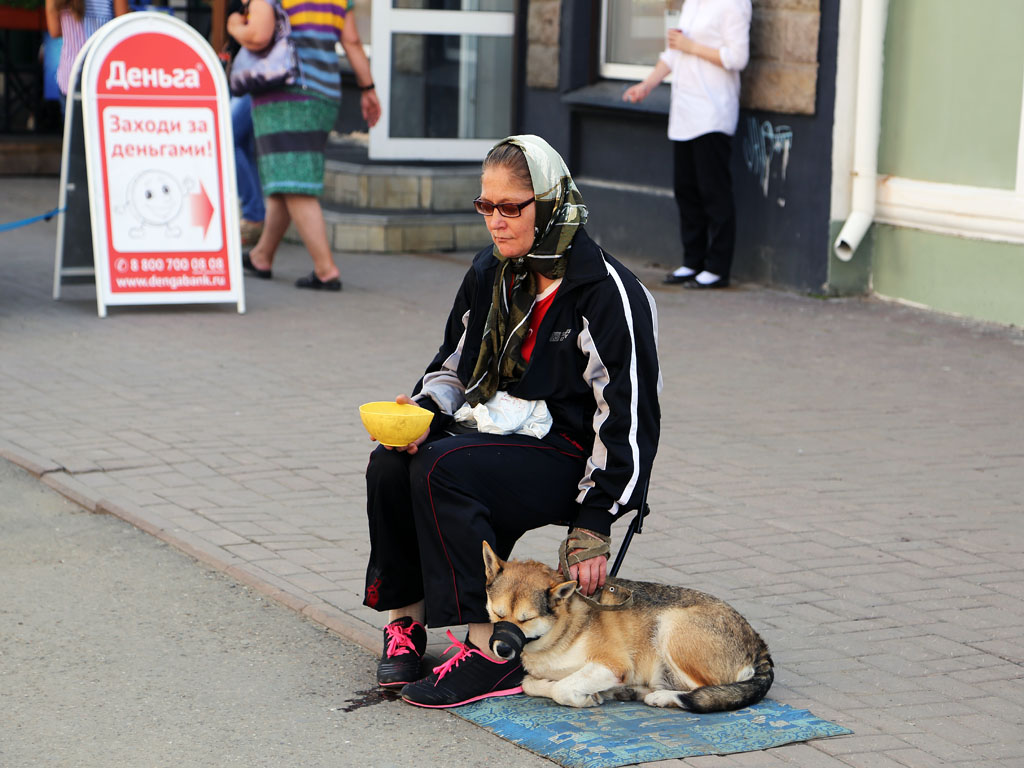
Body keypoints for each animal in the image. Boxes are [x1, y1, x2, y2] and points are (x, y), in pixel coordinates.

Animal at [483, 540, 770, 716]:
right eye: (498, 614)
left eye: (526, 619)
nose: (502, 649)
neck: (560, 631)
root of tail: (757, 641)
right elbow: (530, 683)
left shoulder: (614, 665)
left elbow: (561, 688)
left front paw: (583, 697)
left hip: (671, 628)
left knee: (702, 690)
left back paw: (661, 697)